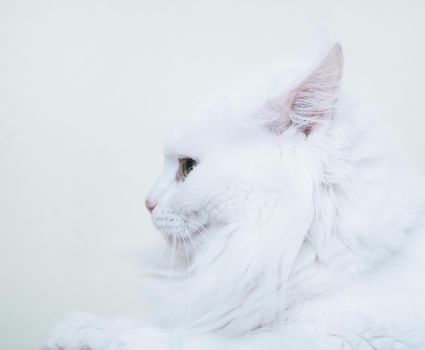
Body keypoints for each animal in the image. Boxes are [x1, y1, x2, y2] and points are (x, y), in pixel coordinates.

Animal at [45, 41, 424, 350]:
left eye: (187, 167)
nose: (147, 203)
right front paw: (80, 330)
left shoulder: (337, 338)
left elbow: (192, 339)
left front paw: (104, 335)